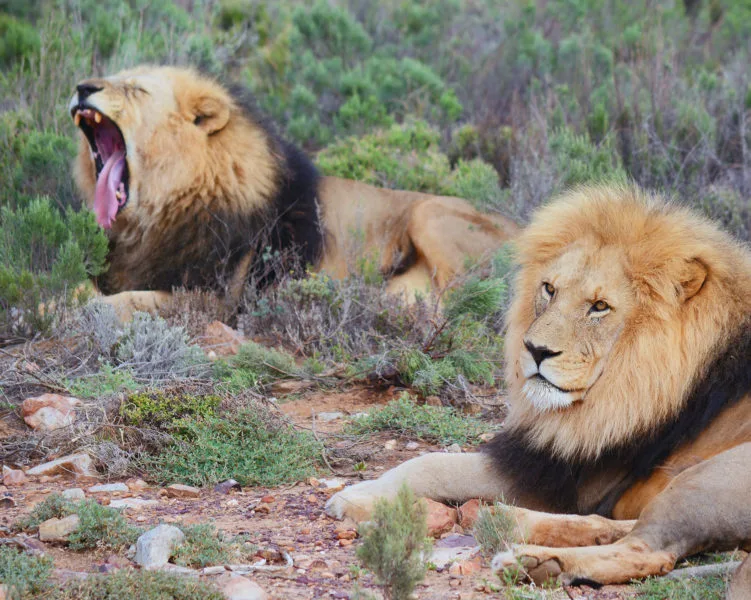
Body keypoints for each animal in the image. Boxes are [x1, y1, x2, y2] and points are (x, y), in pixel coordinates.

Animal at [69, 65, 516, 318]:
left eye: (136, 89)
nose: (82, 87)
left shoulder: (219, 298)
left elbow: (127, 301)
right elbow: (81, 288)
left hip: (430, 215)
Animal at [328, 184, 751, 584]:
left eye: (600, 306)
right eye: (549, 289)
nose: (535, 350)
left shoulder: (566, 476)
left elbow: (432, 464)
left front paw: (358, 497)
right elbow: (428, 463)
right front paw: (359, 496)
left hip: (713, 475)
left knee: (649, 550)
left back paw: (530, 559)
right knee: (616, 528)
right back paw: (510, 523)